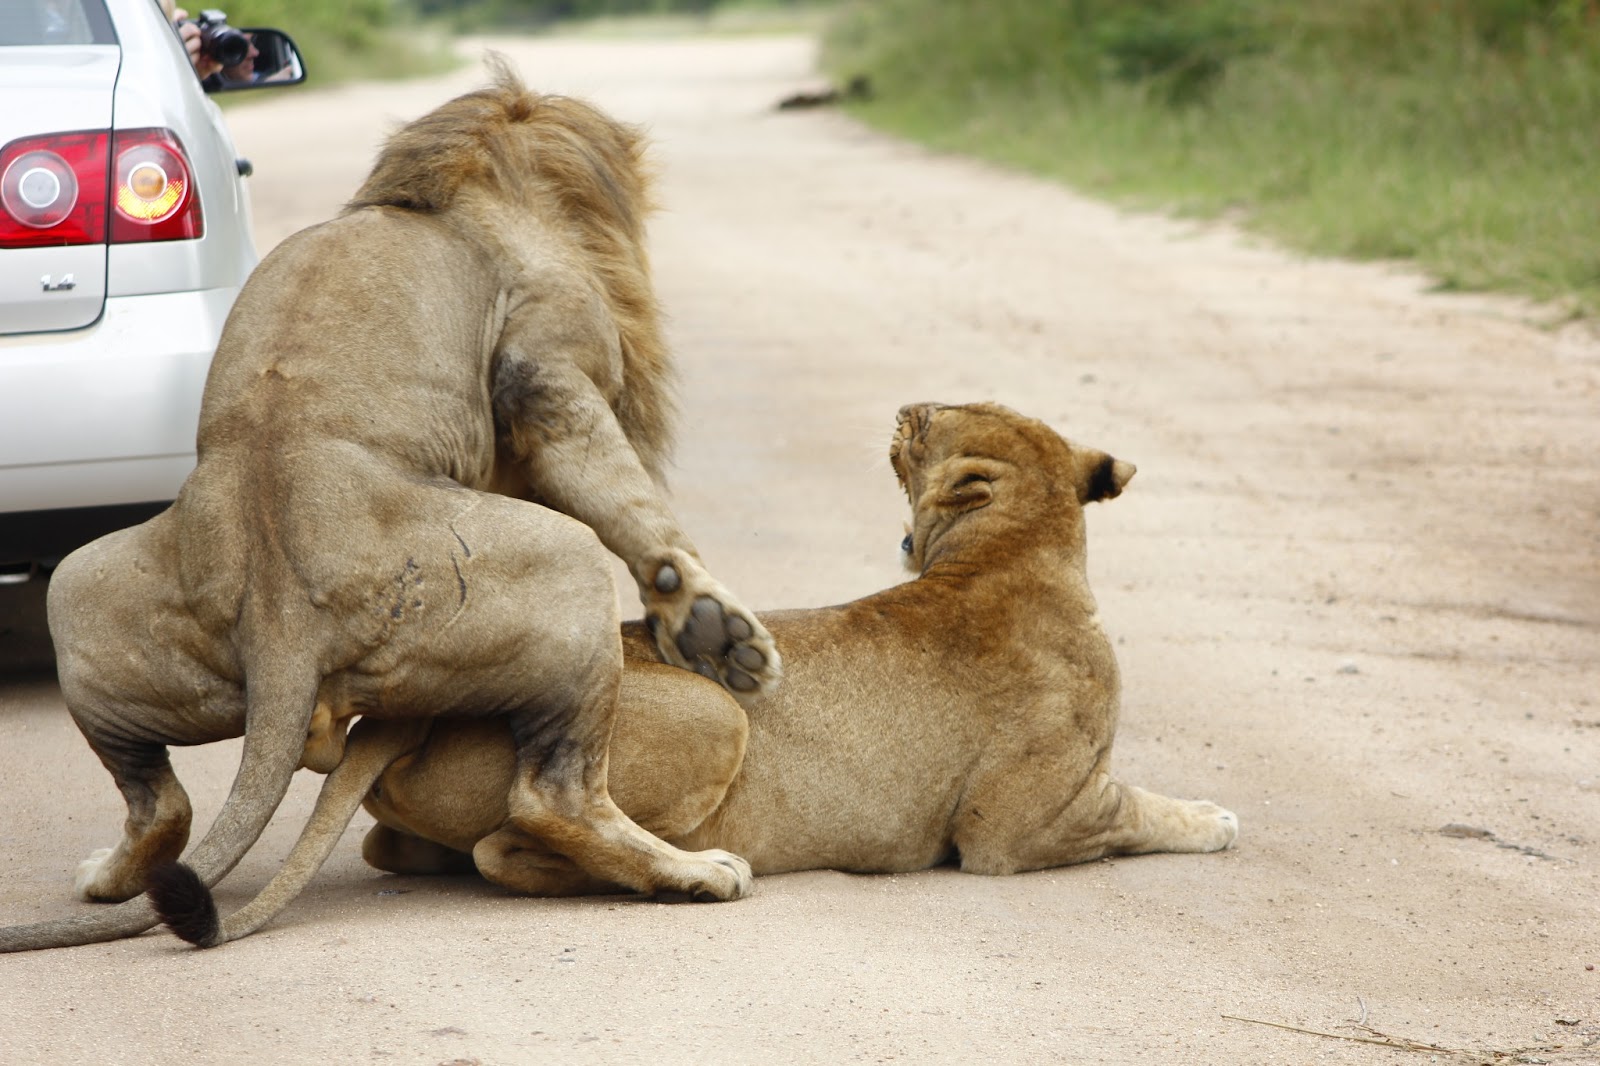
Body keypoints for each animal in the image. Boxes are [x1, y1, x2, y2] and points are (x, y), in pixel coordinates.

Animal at [0, 64, 774, 947]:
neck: (468, 185)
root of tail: (277, 621)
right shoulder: (546, 369)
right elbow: (628, 500)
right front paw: (713, 626)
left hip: (80, 588)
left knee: (160, 804)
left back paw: (107, 876)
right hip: (562, 564)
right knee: (554, 795)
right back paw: (696, 871)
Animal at [144, 403, 1235, 941]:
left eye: (938, 422)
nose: (907, 404)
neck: (1009, 553)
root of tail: (408, 721)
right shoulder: (1018, 825)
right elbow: (1143, 808)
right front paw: (1216, 818)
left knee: (403, 849)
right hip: (718, 715)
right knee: (522, 832)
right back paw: (696, 874)